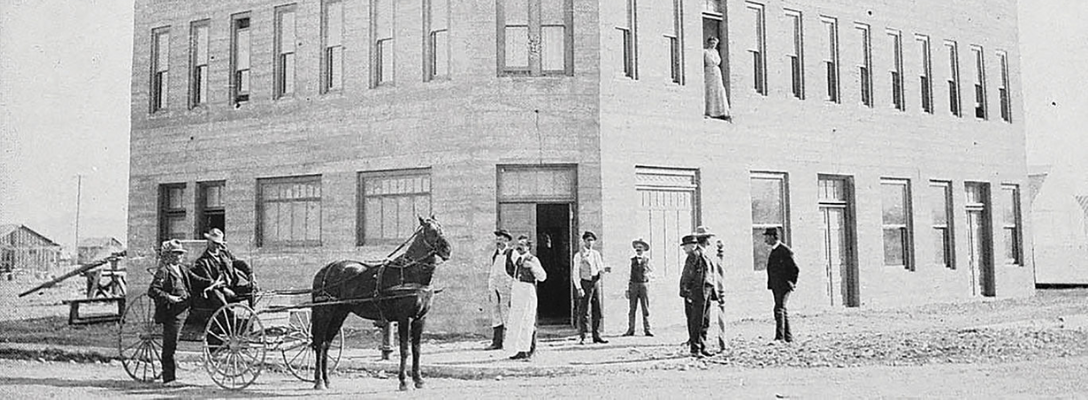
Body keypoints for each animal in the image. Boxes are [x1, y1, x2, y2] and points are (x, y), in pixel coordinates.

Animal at [308, 215, 448, 391]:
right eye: (430, 231)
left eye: (441, 228)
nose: (447, 250)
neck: (409, 273)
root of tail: (325, 269)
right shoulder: (404, 317)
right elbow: (404, 349)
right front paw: (403, 382)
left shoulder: (420, 318)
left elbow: (416, 349)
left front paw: (419, 380)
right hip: (324, 311)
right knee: (319, 343)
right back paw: (318, 381)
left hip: (340, 313)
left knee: (327, 343)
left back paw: (326, 380)